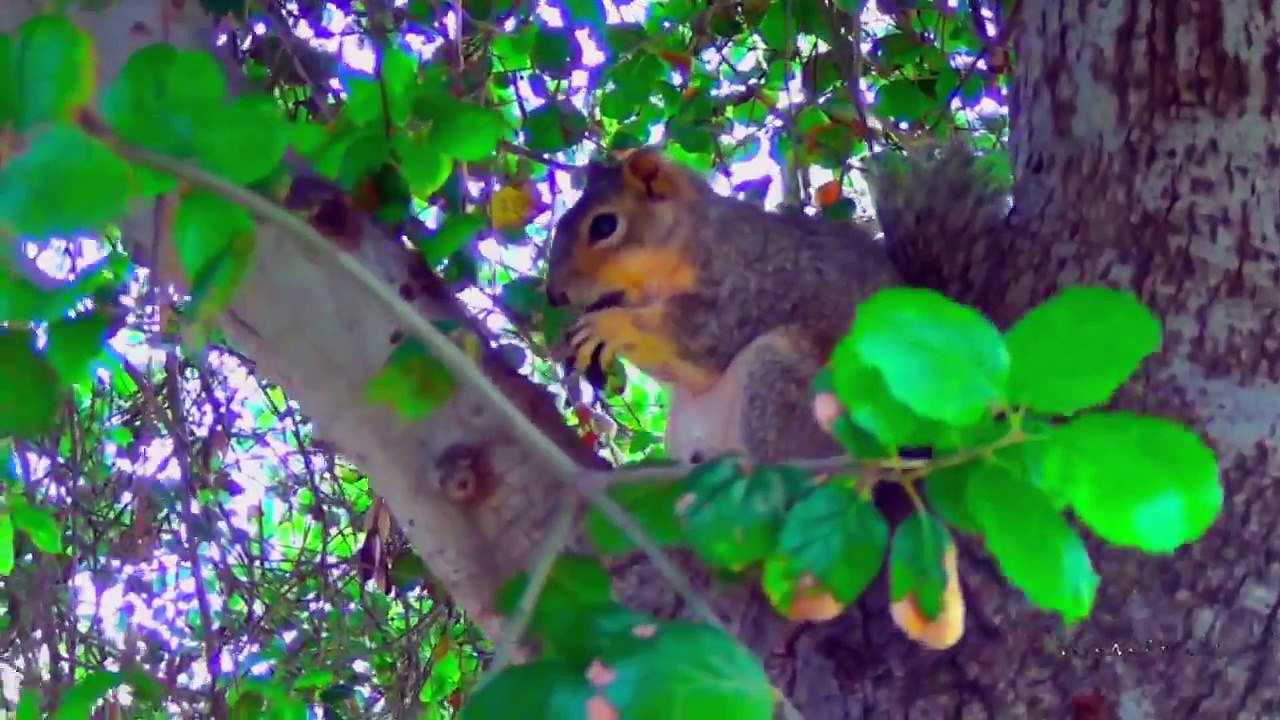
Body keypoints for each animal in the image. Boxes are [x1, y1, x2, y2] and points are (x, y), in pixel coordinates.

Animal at [543, 142, 1008, 651]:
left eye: (604, 225)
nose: (553, 294)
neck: (691, 241)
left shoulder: (749, 290)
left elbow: (700, 337)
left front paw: (608, 327)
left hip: (787, 385)